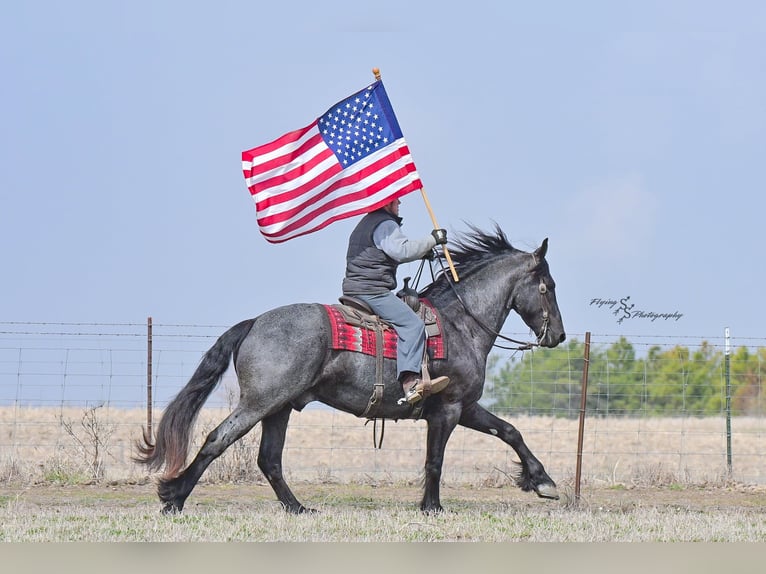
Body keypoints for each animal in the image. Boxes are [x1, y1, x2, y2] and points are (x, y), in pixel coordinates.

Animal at [134, 224, 566, 514]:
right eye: (547, 286)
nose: (558, 336)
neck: (460, 323)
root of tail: (255, 322)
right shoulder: (448, 408)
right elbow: (436, 460)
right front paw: (432, 507)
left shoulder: (466, 407)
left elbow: (510, 431)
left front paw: (542, 481)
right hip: (259, 403)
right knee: (217, 440)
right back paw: (173, 497)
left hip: (279, 408)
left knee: (269, 460)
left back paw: (297, 508)